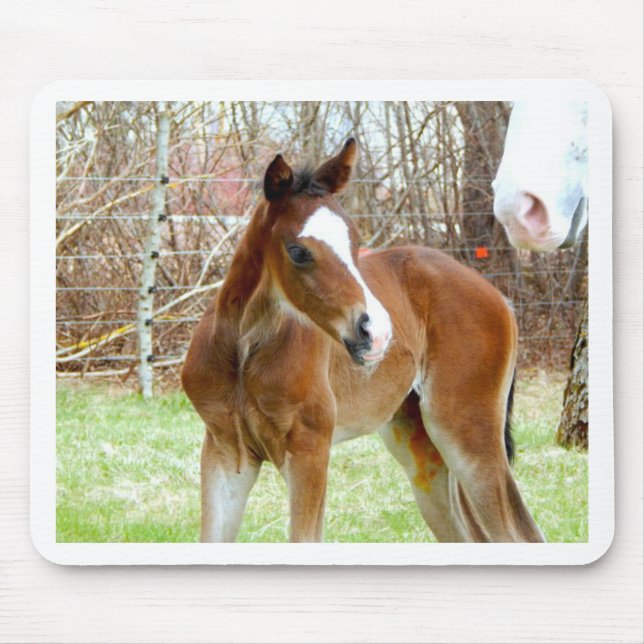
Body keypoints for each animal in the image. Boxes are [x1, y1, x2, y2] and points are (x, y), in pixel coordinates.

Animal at [181, 138, 544, 543]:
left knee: (522, 533)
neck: (244, 353)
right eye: (298, 252)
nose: (377, 332)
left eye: (355, 243)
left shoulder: (310, 449)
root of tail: (500, 297)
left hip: (467, 435)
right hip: (425, 451)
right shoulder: (224, 451)